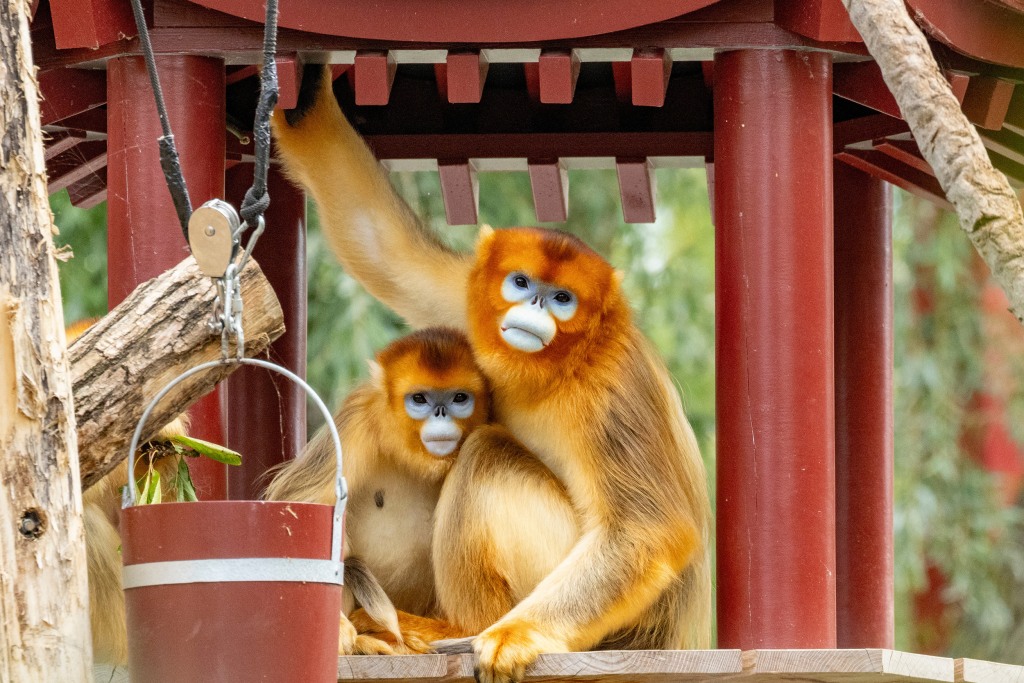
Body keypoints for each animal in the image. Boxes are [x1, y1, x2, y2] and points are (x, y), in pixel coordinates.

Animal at [264, 327, 491, 654]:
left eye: (459, 397)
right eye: (419, 399)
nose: (441, 414)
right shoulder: (357, 419)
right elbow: (299, 502)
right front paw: (337, 628)